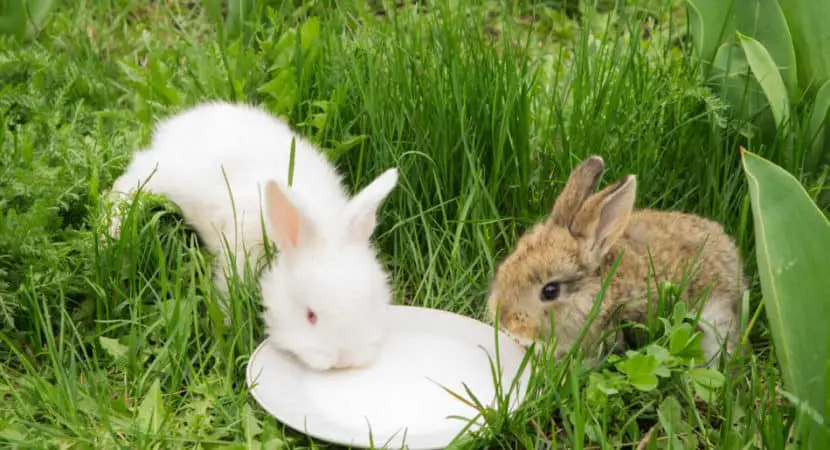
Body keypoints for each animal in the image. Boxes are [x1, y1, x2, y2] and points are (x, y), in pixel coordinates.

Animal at [102, 101, 402, 370]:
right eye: (310, 316)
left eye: (370, 304)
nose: (344, 361)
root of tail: (176, 125)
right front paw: (227, 326)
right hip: (160, 175)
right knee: (126, 183)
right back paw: (110, 233)